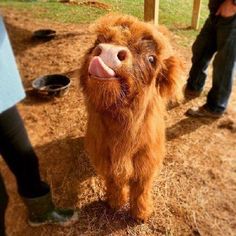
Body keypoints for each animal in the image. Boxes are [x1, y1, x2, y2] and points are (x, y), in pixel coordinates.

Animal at [79, 14, 183, 221]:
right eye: (99, 41)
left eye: (151, 58)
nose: (108, 51)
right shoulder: (105, 159)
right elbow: (114, 182)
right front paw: (115, 203)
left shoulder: (146, 162)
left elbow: (141, 188)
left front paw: (141, 214)